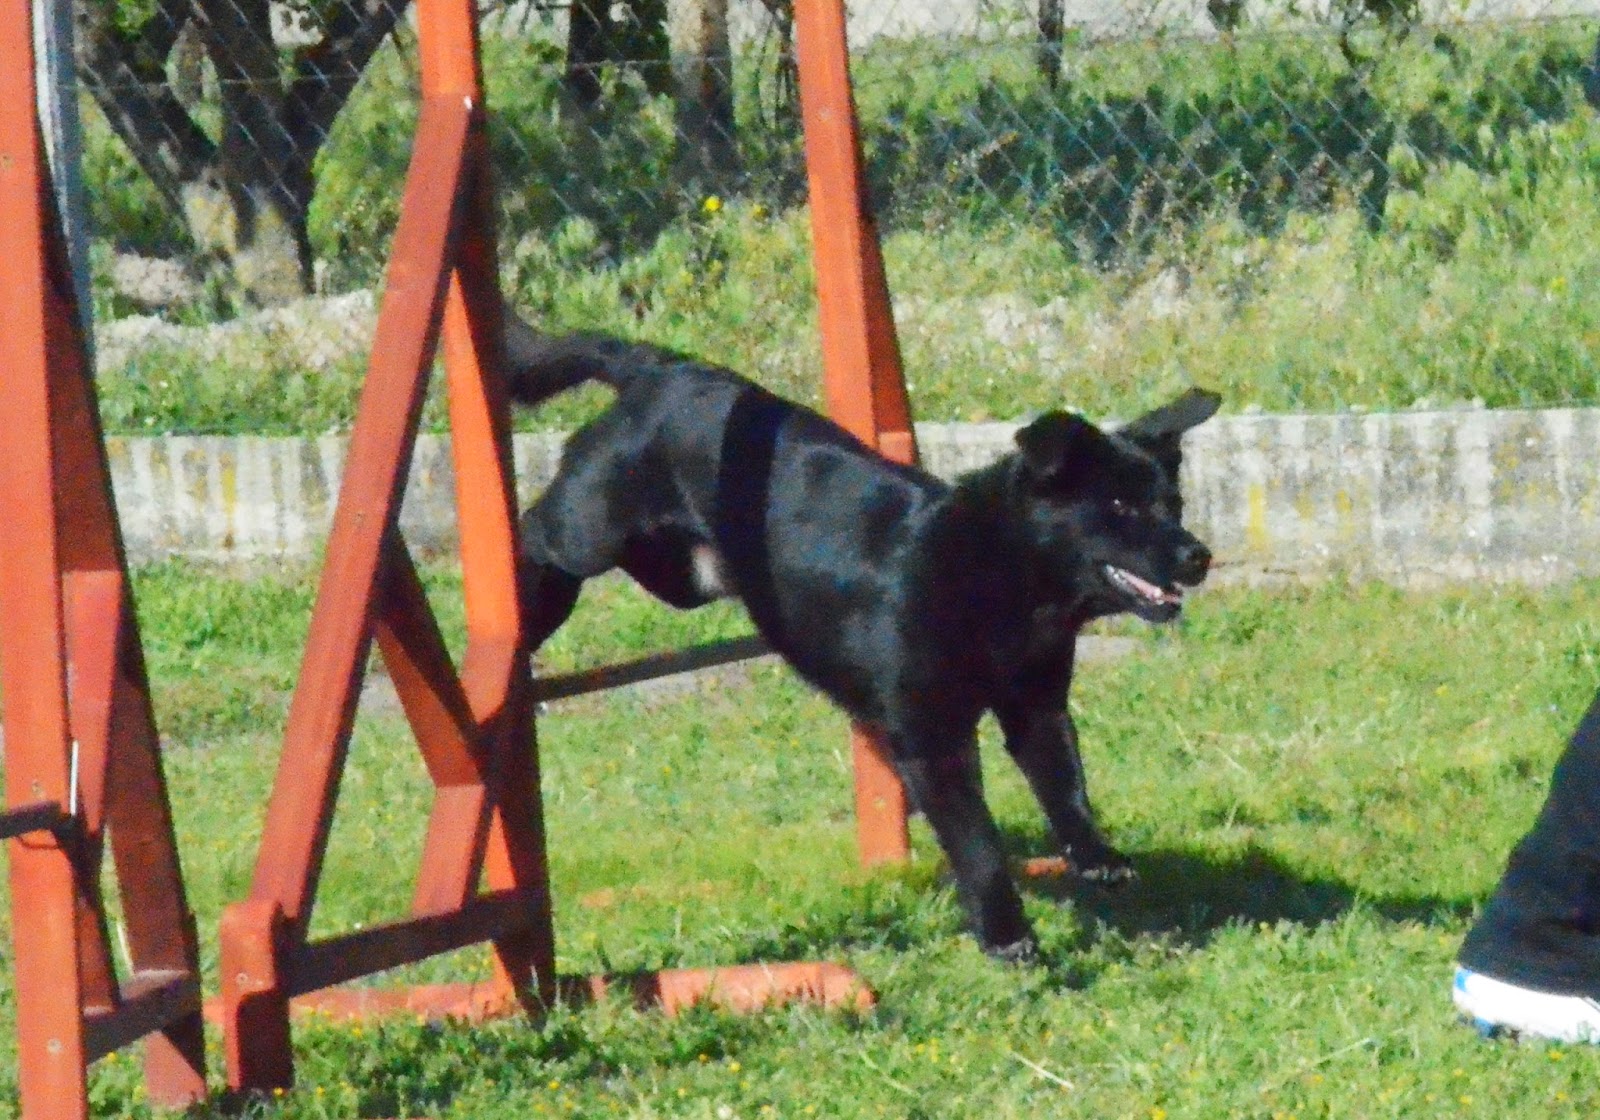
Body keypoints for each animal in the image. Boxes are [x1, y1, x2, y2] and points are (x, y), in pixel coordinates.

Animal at [503, 311, 1219, 959]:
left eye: (1173, 504)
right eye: (1120, 506)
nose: (1198, 556)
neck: (1002, 576)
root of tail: (664, 368)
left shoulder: (1037, 706)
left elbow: (1067, 784)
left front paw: (1096, 856)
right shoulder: (932, 744)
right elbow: (979, 844)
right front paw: (1008, 936)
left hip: (681, 576)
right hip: (591, 530)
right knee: (540, 528)